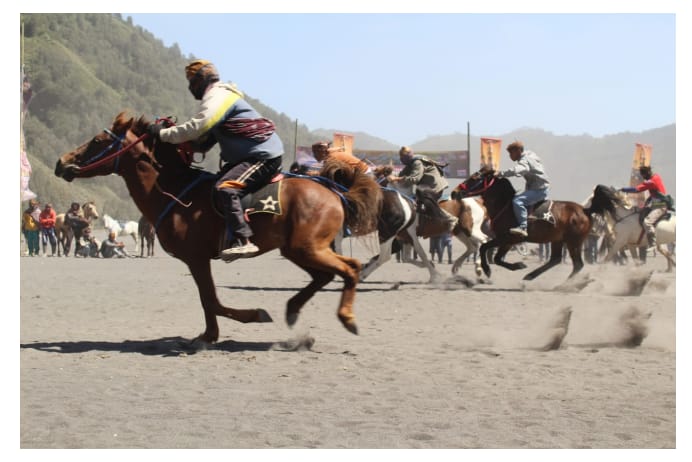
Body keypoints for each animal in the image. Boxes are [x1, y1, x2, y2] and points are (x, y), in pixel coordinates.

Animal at [55, 112, 384, 344]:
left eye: (98, 141)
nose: (61, 162)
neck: (175, 191)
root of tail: (334, 191)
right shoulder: (198, 260)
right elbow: (208, 301)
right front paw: (209, 335)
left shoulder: (197, 258)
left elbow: (211, 300)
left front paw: (249, 317)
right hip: (298, 249)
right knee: (328, 274)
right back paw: (293, 309)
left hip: (306, 248)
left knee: (349, 268)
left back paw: (346, 317)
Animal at [460, 168, 612, 280]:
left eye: (475, 178)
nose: (457, 191)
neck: (505, 206)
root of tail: (585, 210)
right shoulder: (508, 241)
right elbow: (496, 258)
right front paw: (518, 266)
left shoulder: (508, 238)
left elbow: (484, 248)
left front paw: (487, 270)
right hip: (558, 240)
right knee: (555, 260)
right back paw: (530, 276)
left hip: (573, 241)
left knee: (578, 264)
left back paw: (566, 285)